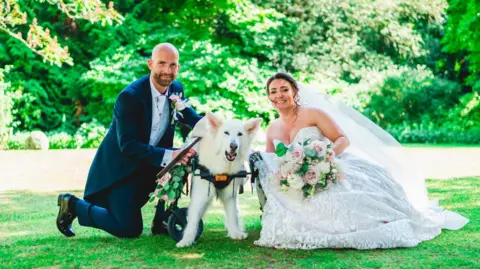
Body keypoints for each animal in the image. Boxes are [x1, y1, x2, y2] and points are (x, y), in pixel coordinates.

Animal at [175, 111, 260, 247]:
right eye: (226, 133)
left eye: (240, 134)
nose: (233, 146)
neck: (222, 165)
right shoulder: (201, 194)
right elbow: (193, 218)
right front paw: (186, 239)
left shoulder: (230, 194)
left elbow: (232, 214)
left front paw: (235, 233)